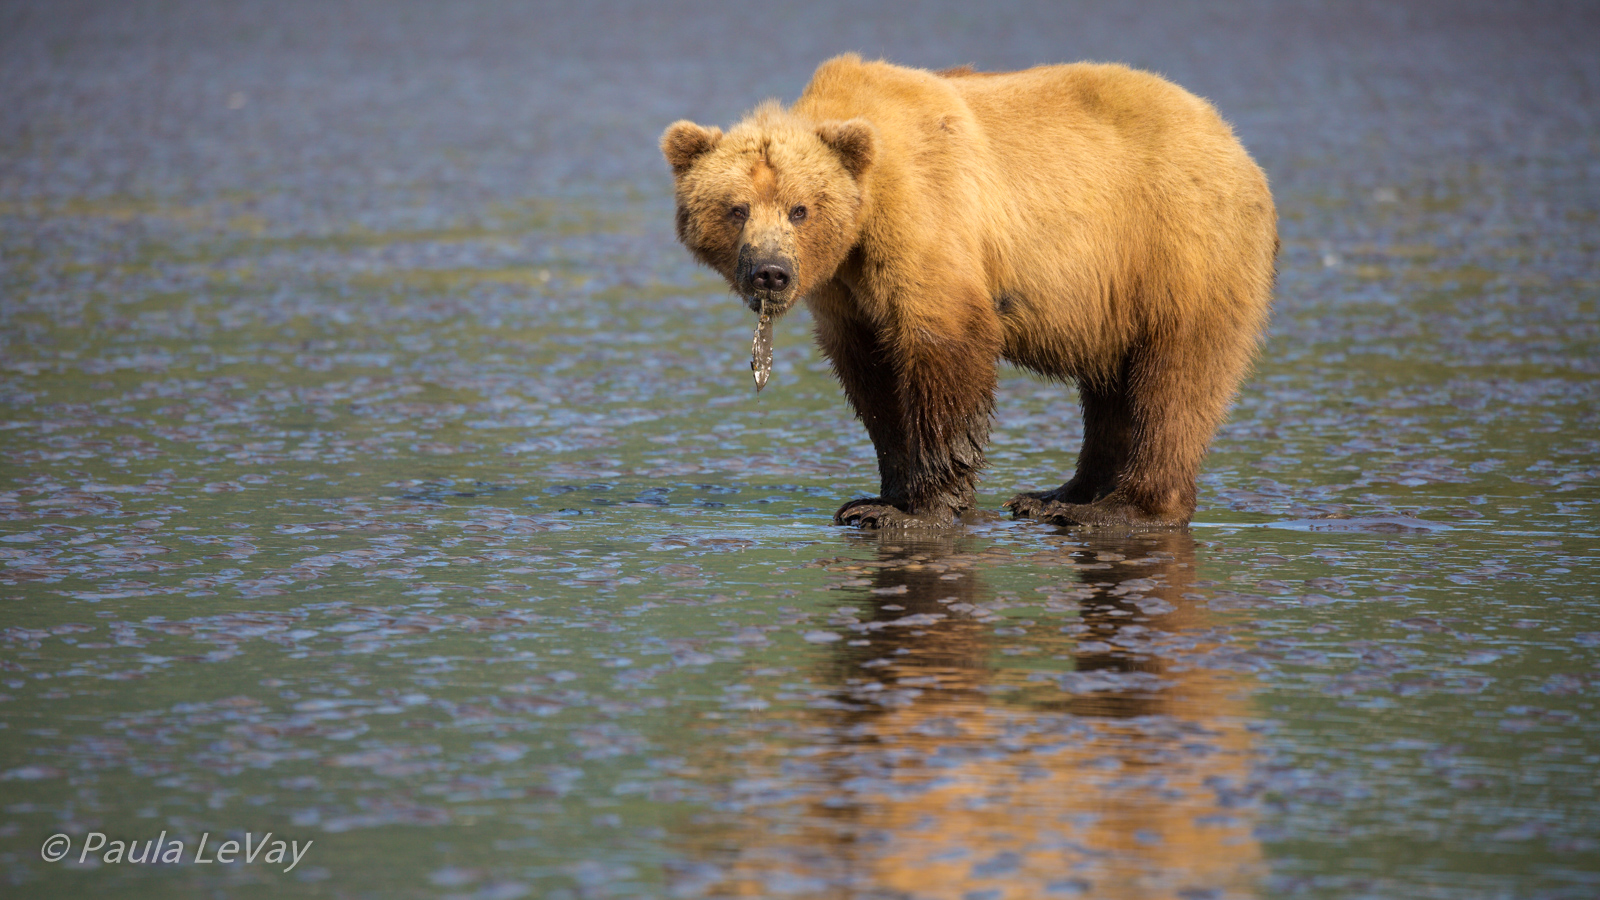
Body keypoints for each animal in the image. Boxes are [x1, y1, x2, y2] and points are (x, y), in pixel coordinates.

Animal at [662, 54, 1276, 529]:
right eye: (736, 208)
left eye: (799, 209)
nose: (770, 272)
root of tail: (1235, 143)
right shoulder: (844, 289)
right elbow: (873, 379)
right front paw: (877, 496)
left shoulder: (928, 216)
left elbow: (943, 348)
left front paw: (917, 509)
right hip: (1114, 295)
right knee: (1112, 389)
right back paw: (1057, 495)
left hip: (1177, 247)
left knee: (1175, 379)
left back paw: (1119, 507)